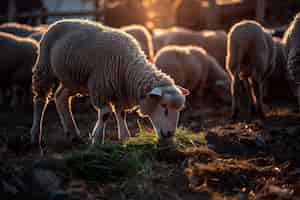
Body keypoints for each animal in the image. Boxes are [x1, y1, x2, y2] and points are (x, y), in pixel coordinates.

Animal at [31, 19, 189, 151]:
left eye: (179, 110)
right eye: (164, 106)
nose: (169, 134)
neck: (127, 68)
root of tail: (58, 22)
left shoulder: (120, 92)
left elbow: (121, 114)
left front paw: (125, 138)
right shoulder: (100, 88)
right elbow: (106, 114)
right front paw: (97, 140)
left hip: (72, 79)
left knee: (60, 98)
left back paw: (74, 135)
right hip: (44, 67)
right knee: (40, 100)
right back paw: (35, 136)